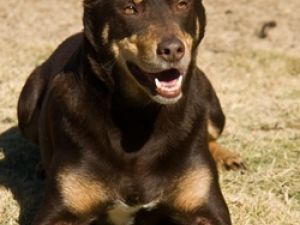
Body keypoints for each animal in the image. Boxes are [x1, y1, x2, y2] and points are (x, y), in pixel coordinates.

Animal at [17, 0, 244, 225]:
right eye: (130, 9)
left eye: (182, 4)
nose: (173, 50)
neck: (137, 116)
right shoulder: (58, 213)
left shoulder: (207, 209)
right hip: (27, 103)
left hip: (213, 107)